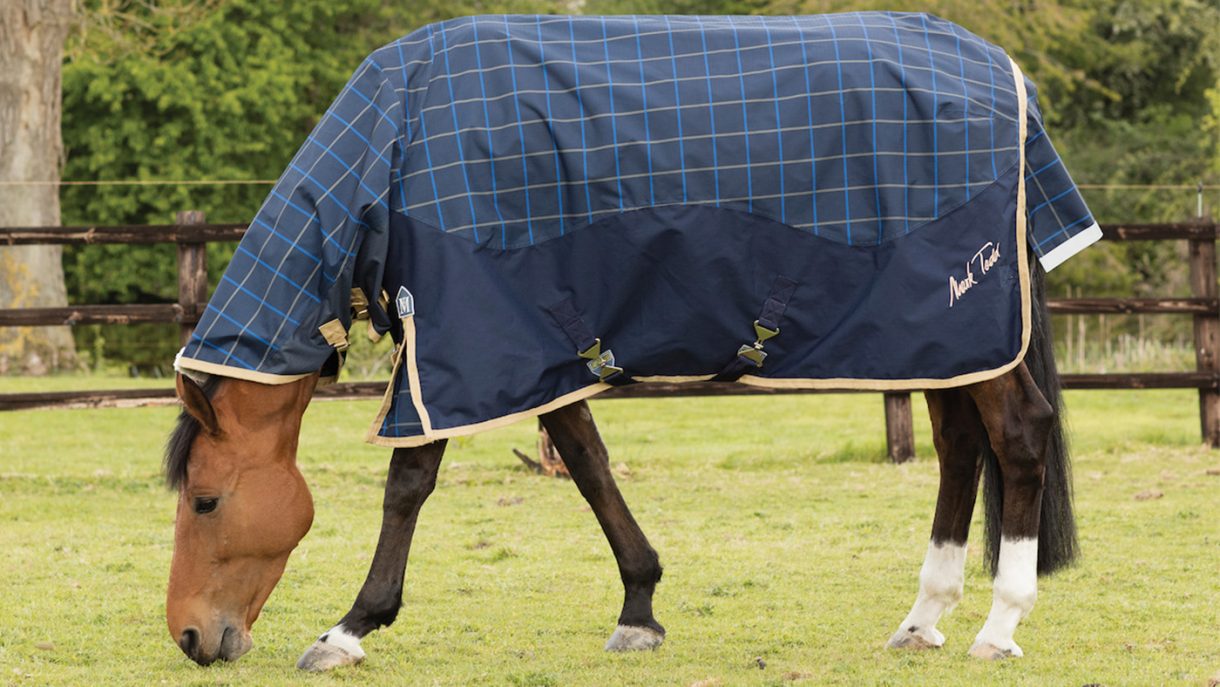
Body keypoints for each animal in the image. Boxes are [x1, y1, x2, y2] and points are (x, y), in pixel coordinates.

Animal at [163, 12, 1089, 670]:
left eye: (204, 499)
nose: (190, 637)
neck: (395, 149)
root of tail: (1003, 73)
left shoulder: (462, 344)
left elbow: (409, 483)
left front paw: (350, 626)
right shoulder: (542, 347)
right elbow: (588, 462)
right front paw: (640, 609)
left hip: (960, 322)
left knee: (1018, 435)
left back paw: (998, 624)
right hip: (945, 336)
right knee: (961, 446)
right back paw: (922, 618)